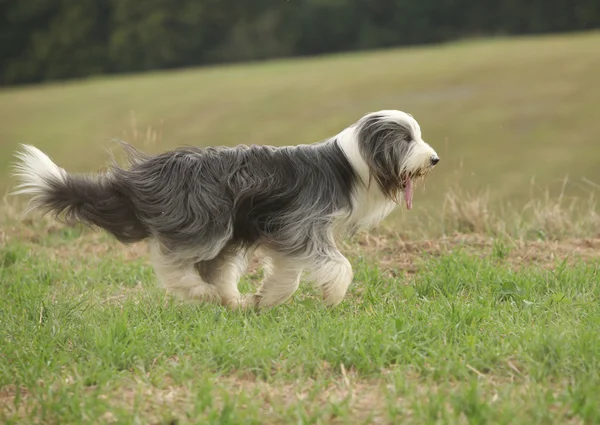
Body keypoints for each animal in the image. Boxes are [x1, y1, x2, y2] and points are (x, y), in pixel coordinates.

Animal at [11, 109, 438, 308]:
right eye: (406, 138)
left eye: (416, 135)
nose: (434, 159)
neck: (347, 163)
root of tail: (149, 173)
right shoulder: (302, 223)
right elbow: (337, 265)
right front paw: (333, 294)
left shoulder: (287, 231)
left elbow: (287, 274)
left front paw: (264, 300)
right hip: (208, 222)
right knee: (172, 263)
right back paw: (200, 293)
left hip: (227, 231)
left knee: (212, 268)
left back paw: (229, 300)